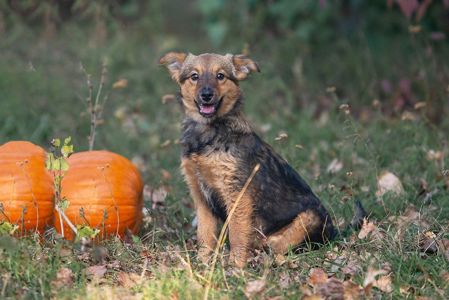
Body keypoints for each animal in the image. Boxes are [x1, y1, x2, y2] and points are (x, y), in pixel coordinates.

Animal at [159, 52, 334, 268]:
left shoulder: (237, 195)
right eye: (194, 76)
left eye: (220, 76)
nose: (206, 95)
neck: (207, 133)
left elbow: (237, 234)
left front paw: (235, 266)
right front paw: (203, 263)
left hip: (309, 219)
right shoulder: (200, 195)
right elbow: (205, 235)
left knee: (277, 246)